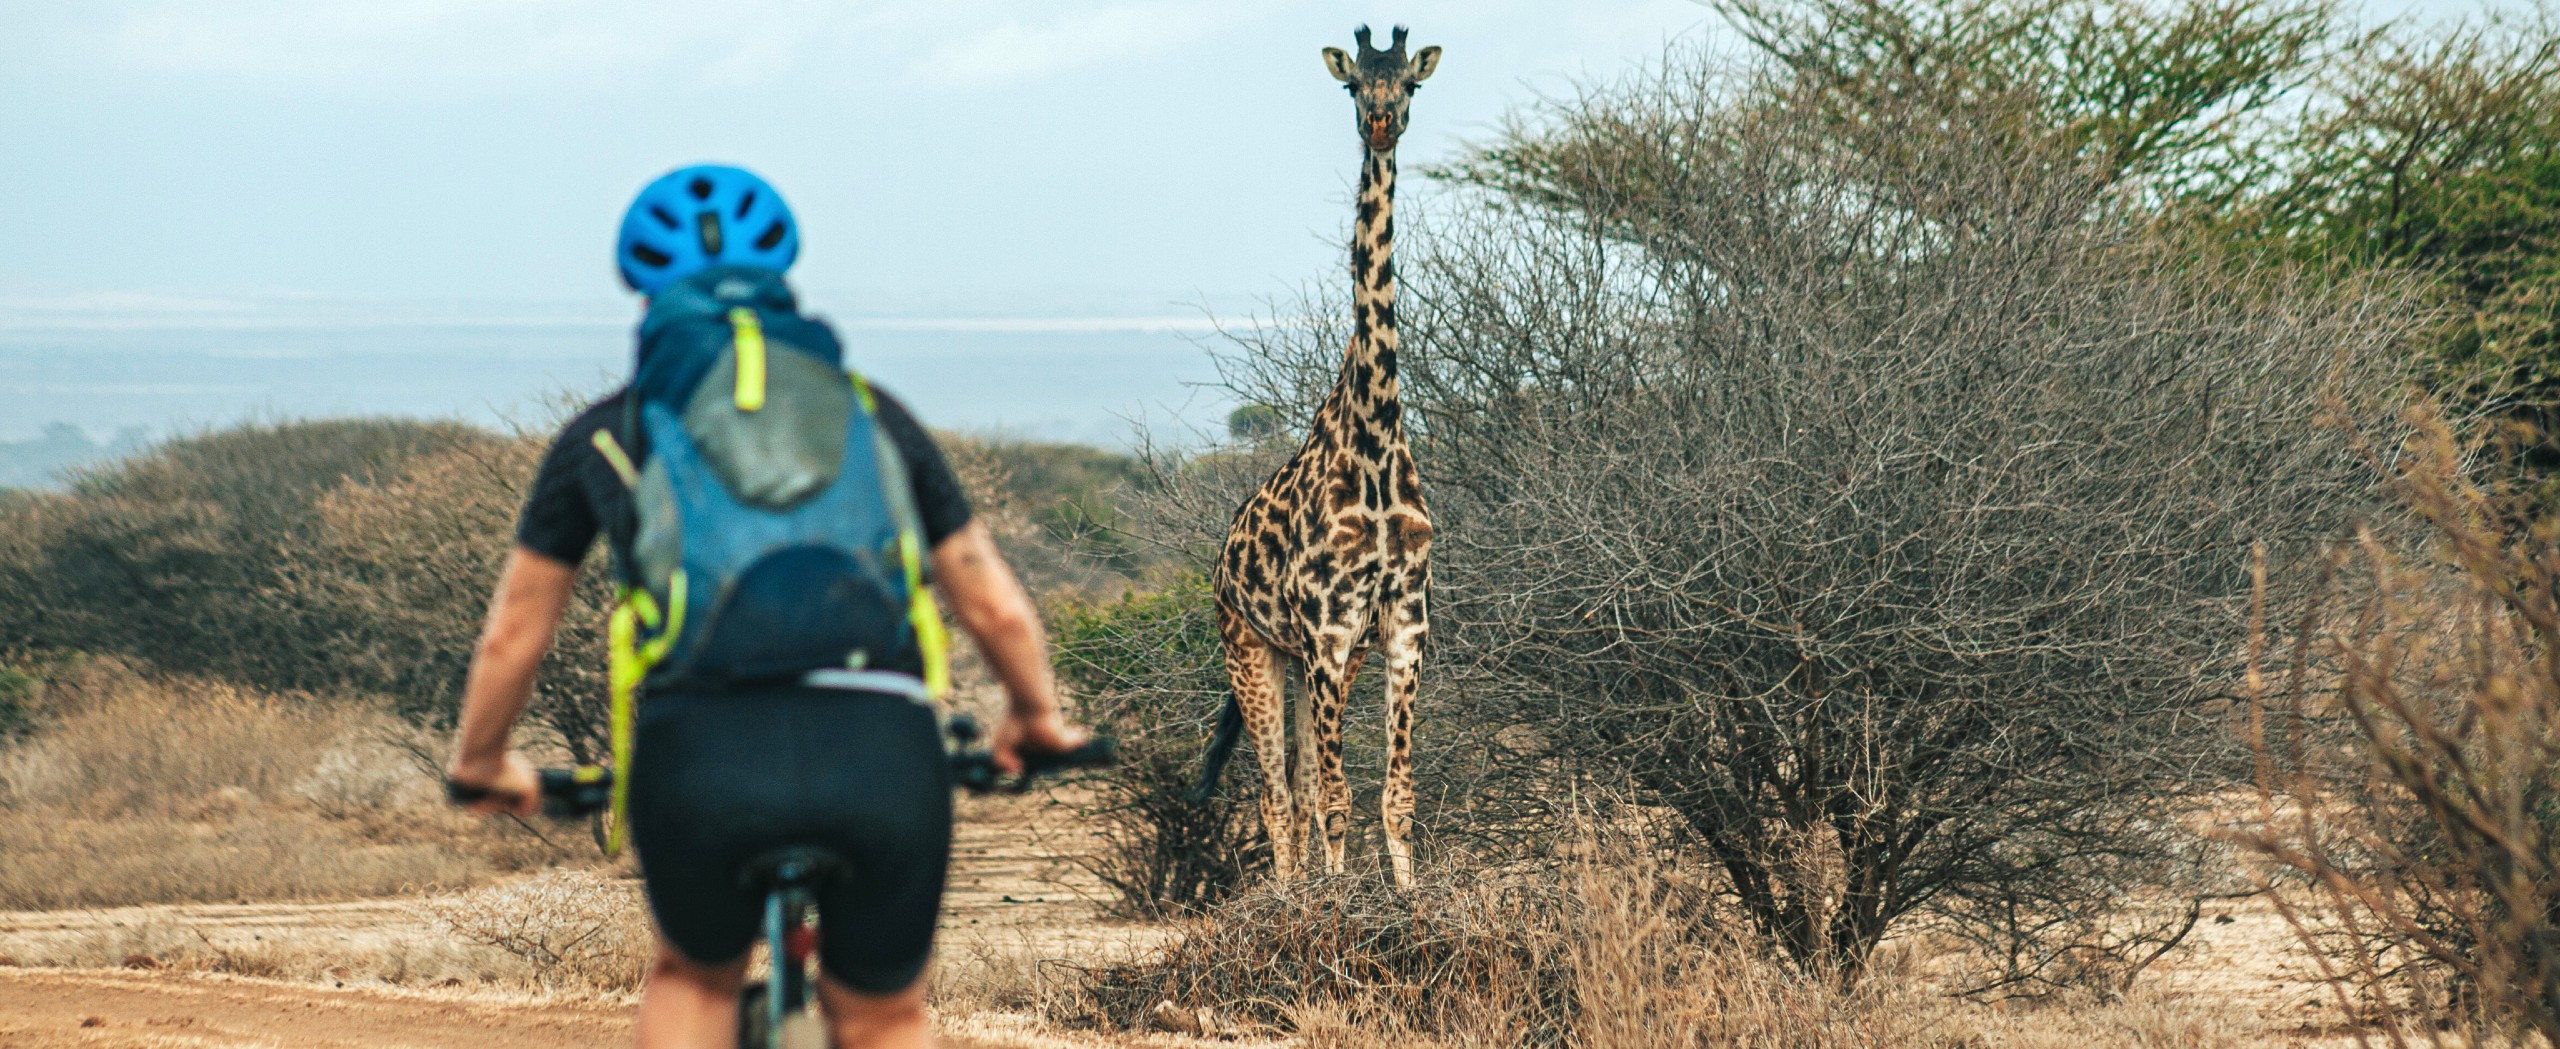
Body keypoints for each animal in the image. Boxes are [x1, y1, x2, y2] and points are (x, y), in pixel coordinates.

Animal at [1182, 24, 1433, 885]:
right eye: (1354, 84)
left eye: (1409, 84)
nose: (1382, 124)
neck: (1378, 432)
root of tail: (1220, 558)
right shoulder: (1330, 629)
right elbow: (1334, 798)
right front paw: (1338, 905)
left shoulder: (1400, 626)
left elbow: (1395, 796)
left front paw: (1409, 898)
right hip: (1250, 645)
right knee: (1274, 792)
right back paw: (1292, 896)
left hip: (1303, 660)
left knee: (1289, 782)